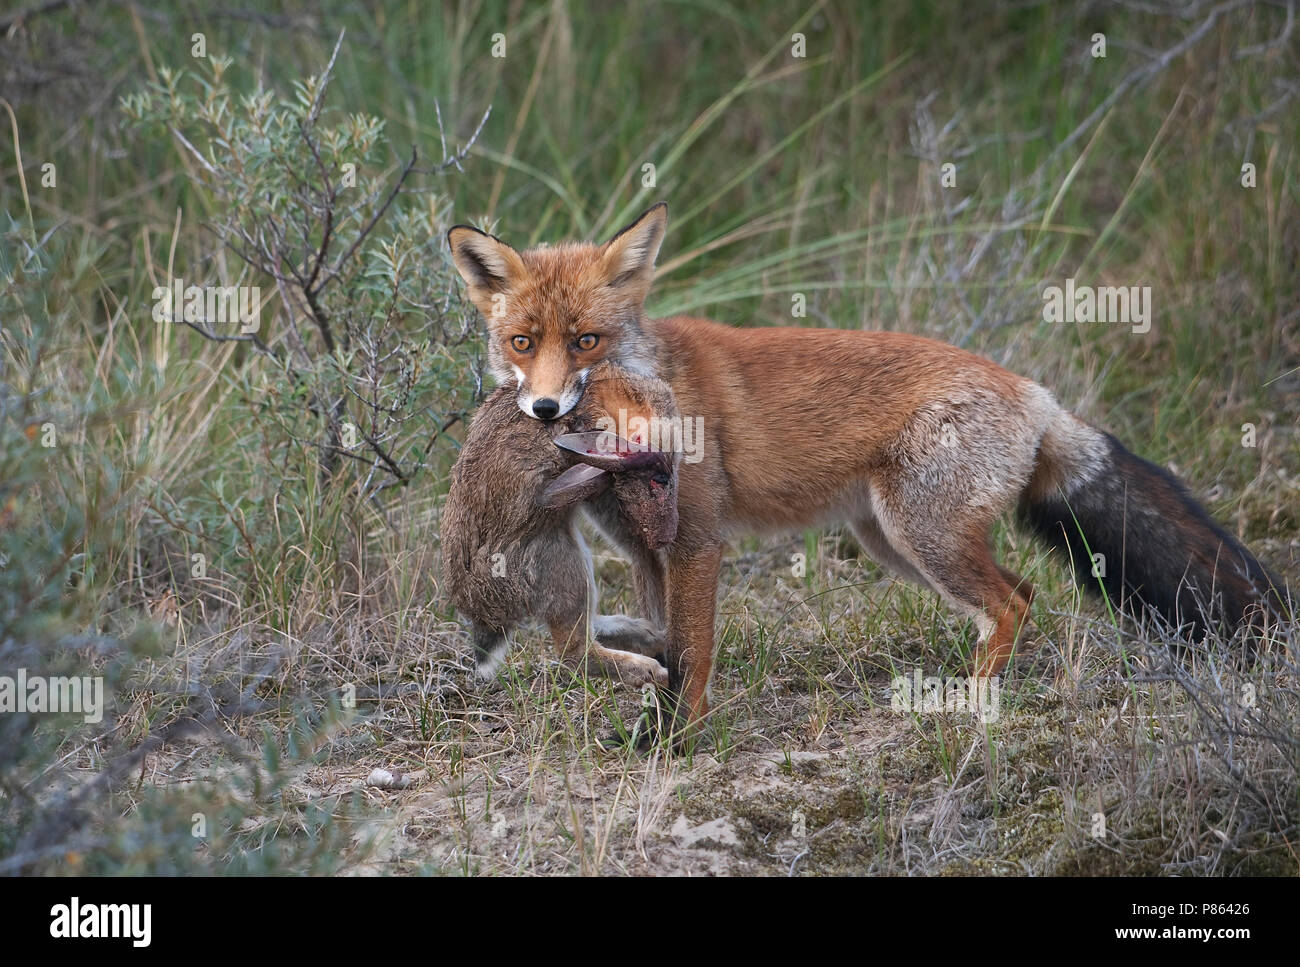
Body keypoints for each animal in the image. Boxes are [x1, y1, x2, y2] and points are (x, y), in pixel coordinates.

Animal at [449, 201, 1289, 733]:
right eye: (523, 343)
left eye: (586, 341)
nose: (545, 410)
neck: (651, 382)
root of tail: (1035, 391)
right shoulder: (649, 550)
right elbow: (664, 643)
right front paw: (653, 717)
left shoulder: (697, 542)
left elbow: (693, 652)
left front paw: (682, 741)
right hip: (893, 542)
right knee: (1018, 595)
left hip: (924, 535)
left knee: (1014, 602)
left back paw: (968, 705)